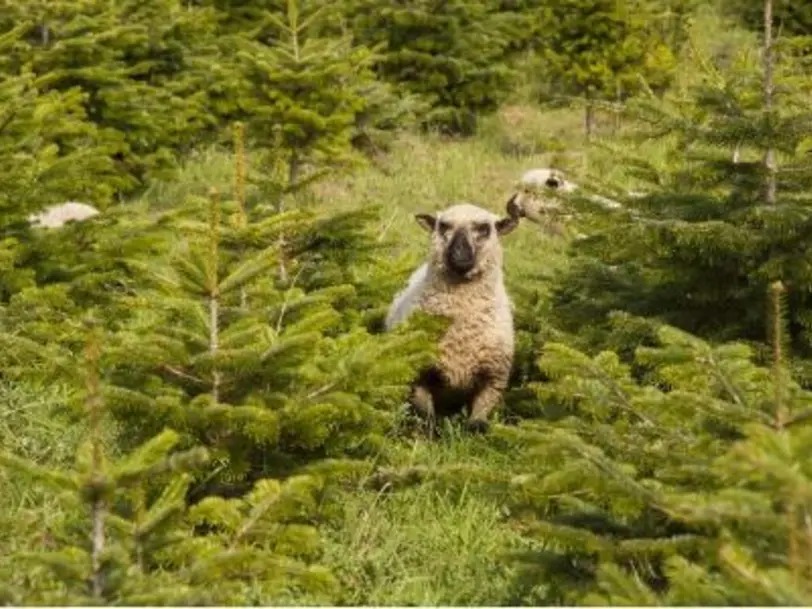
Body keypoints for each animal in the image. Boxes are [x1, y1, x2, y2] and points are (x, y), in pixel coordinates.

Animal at [386, 198, 524, 432]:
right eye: (443, 226)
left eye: (484, 228)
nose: (459, 255)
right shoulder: (420, 375)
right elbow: (427, 418)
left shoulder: (493, 379)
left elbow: (477, 422)